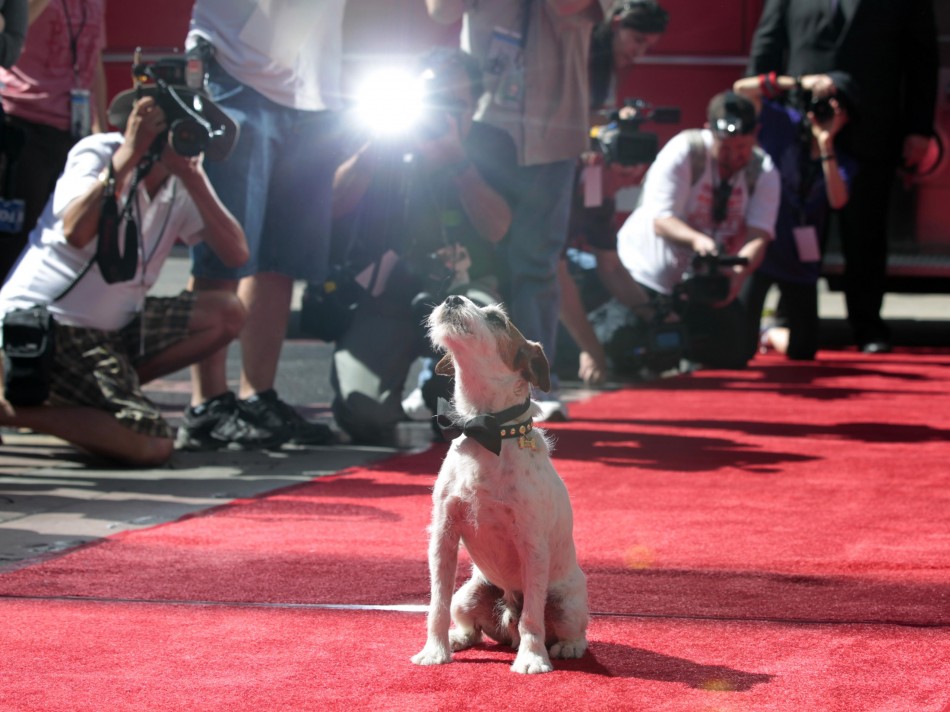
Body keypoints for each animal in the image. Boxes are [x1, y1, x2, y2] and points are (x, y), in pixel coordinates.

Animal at [412, 294, 592, 672]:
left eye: (496, 318)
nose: (452, 297)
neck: (485, 429)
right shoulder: (443, 535)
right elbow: (436, 605)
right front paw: (435, 651)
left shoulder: (532, 545)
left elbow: (532, 618)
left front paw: (532, 659)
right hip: (468, 594)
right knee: (471, 624)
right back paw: (458, 638)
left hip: (567, 600)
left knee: (563, 628)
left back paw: (565, 647)